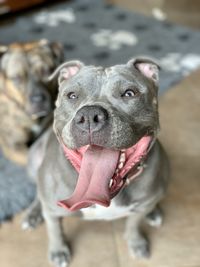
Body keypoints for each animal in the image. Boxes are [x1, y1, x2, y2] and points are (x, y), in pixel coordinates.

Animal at [24, 58, 170, 267]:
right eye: (72, 95)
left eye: (129, 93)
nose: (89, 115)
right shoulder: (52, 211)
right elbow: (55, 230)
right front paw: (58, 250)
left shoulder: (141, 206)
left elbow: (134, 223)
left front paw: (136, 242)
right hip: (34, 160)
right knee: (38, 192)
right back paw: (33, 214)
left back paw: (154, 212)